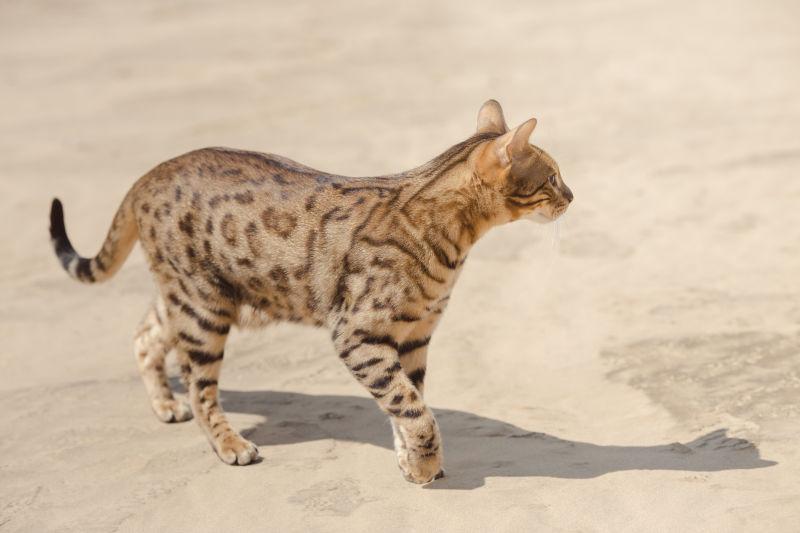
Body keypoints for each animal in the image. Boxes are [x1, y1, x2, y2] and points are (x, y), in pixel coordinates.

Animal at [50, 100, 572, 482]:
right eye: (551, 178)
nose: (572, 196)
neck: (450, 234)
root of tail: (147, 175)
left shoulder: (414, 334)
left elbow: (407, 404)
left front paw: (410, 462)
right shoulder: (359, 333)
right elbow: (412, 408)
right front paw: (424, 465)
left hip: (197, 298)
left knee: (146, 333)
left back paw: (163, 404)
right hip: (204, 310)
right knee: (199, 388)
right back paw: (229, 444)